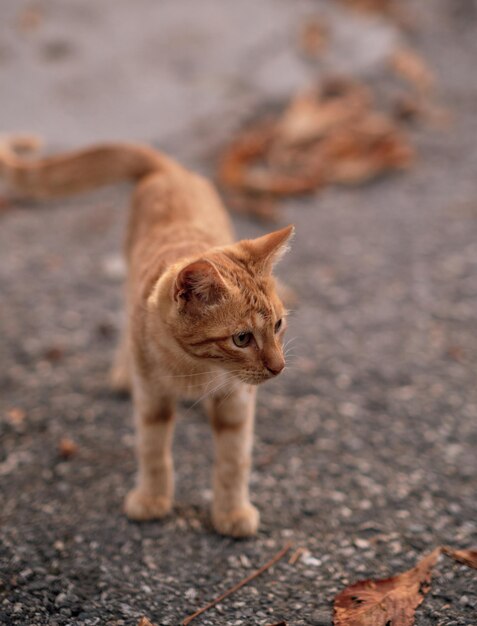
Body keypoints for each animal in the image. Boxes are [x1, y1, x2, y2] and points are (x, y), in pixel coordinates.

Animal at [0, 136, 292, 536]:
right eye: (242, 339)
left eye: (277, 326)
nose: (278, 368)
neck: (194, 369)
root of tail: (170, 170)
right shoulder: (152, 398)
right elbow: (154, 452)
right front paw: (153, 499)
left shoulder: (236, 402)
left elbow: (233, 461)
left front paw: (231, 512)